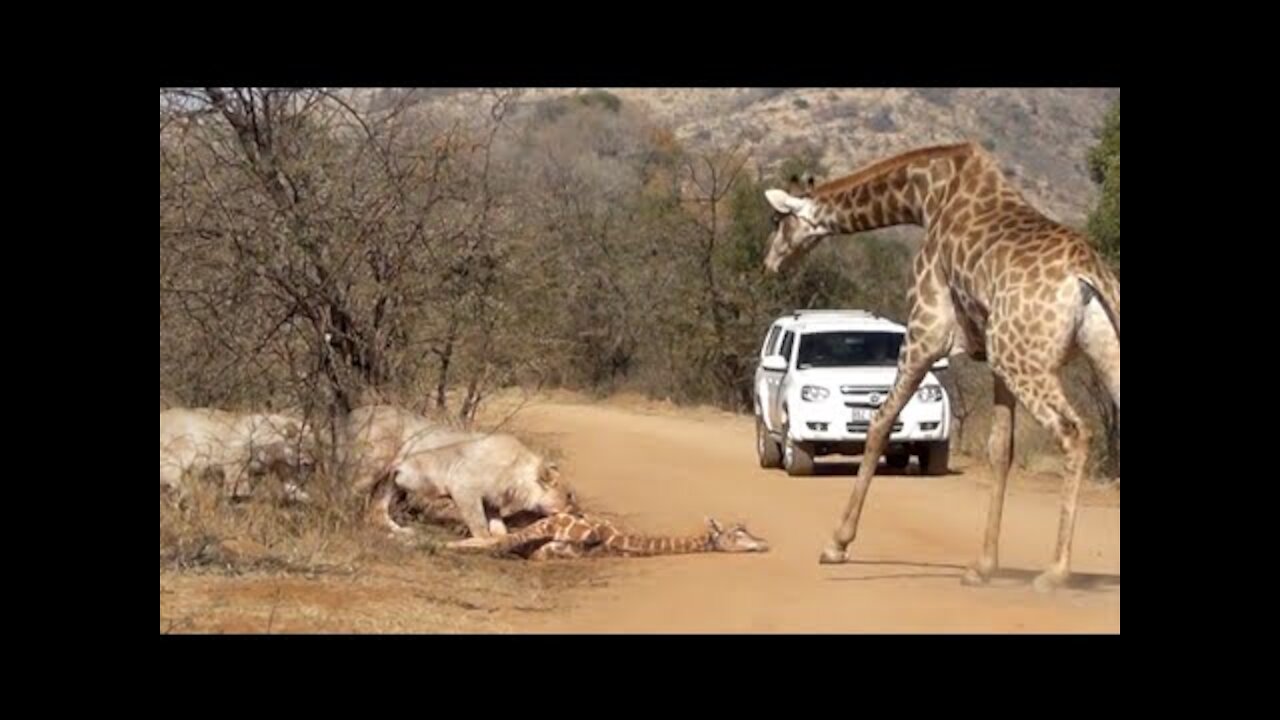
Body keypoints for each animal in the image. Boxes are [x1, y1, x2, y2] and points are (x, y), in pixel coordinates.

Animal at [762, 141, 1116, 589]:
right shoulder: (992, 357)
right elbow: (1001, 449)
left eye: (777, 221)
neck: (926, 196)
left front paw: (836, 544)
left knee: (1075, 432)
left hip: (1025, 358)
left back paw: (1055, 572)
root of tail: (1087, 274)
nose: (769, 262)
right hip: (1088, 352)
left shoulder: (926, 330)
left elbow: (880, 422)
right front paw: (982, 566)